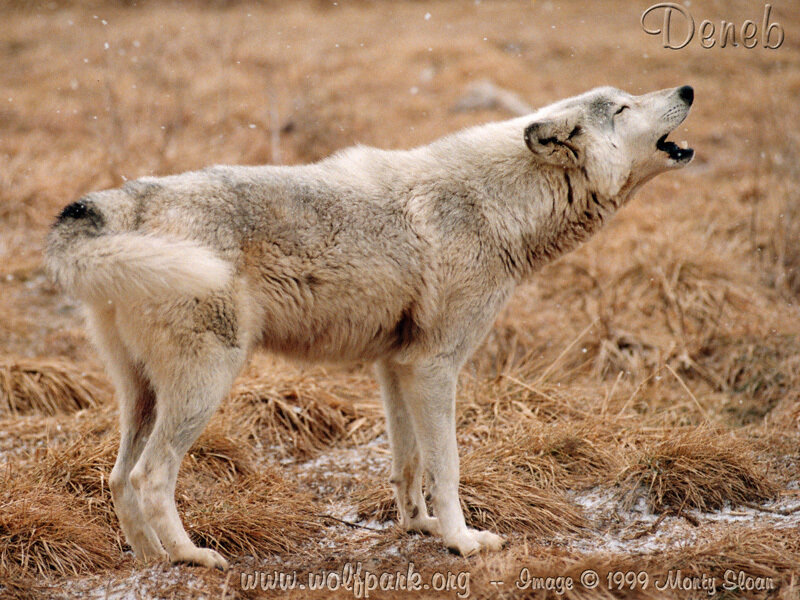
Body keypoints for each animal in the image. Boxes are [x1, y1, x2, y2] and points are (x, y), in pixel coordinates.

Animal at [45, 85, 694, 568]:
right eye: (622, 108)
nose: (686, 89)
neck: (496, 206)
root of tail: (123, 203)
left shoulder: (395, 366)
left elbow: (408, 464)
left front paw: (419, 528)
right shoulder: (434, 368)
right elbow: (447, 466)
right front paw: (463, 541)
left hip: (144, 395)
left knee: (118, 477)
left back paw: (150, 561)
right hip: (204, 385)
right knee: (151, 477)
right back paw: (192, 558)